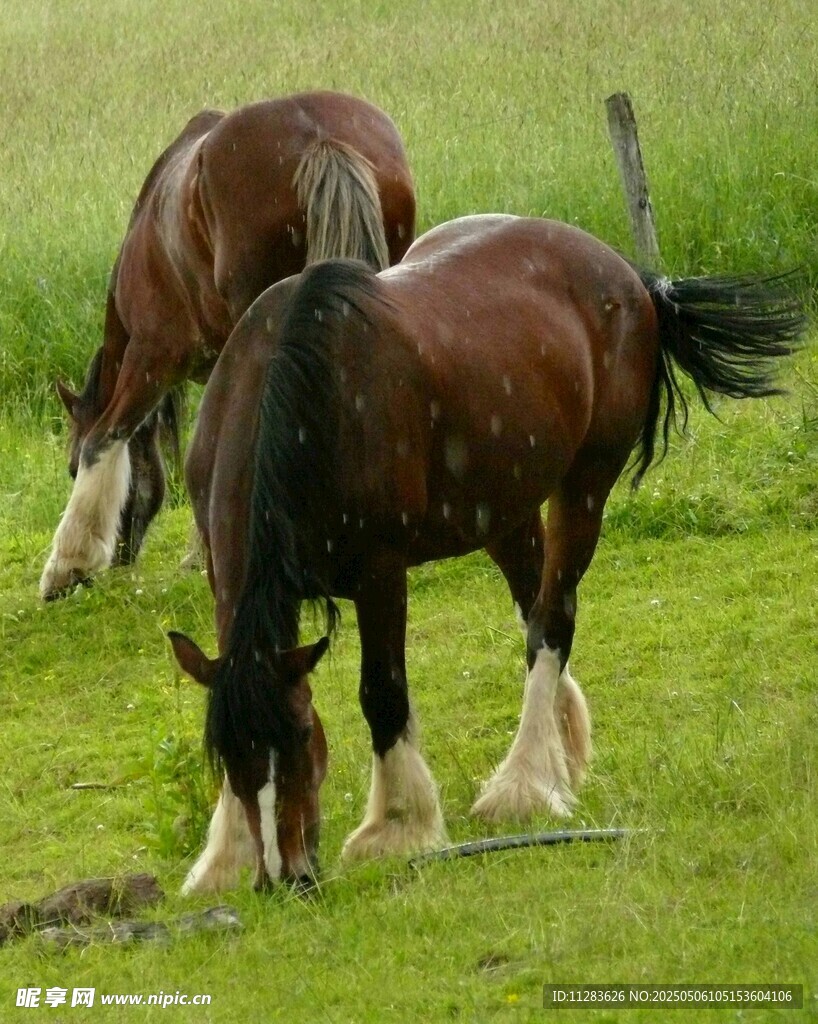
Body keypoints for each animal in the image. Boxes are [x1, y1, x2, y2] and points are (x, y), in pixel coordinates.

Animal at [40, 91, 416, 600]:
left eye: (70, 467)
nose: (121, 561)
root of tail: (320, 136)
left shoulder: (152, 357)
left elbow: (107, 436)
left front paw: (68, 564)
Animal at [168, 214, 804, 893]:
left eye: (300, 736)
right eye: (226, 756)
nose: (284, 877)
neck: (303, 396)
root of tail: (631, 277)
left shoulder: (380, 573)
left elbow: (382, 693)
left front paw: (397, 827)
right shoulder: (223, 579)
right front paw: (227, 854)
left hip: (584, 486)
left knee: (552, 623)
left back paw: (523, 785)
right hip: (506, 512)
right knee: (537, 614)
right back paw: (558, 758)